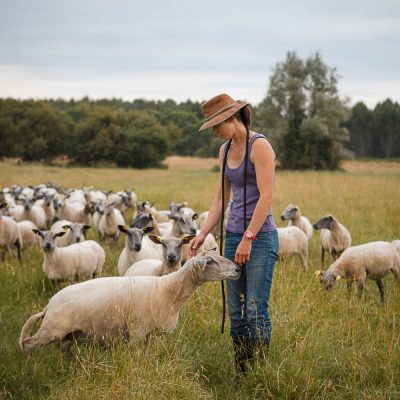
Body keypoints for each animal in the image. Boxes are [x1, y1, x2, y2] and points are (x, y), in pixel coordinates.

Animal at [19, 252, 241, 354]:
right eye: (211, 261)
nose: (238, 269)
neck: (167, 290)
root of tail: (49, 305)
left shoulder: (148, 334)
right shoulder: (136, 331)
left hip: (66, 335)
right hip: (51, 330)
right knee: (28, 343)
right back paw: (30, 364)